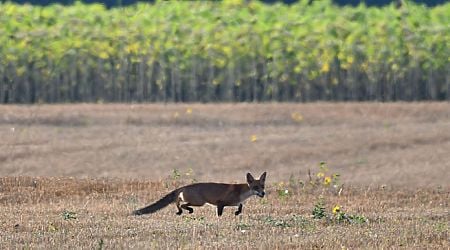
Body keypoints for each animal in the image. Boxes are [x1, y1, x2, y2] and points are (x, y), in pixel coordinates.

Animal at [134, 173, 268, 216]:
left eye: (262, 186)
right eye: (255, 187)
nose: (263, 193)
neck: (241, 193)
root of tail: (184, 186)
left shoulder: (236, 202)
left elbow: (240, 206)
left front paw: (237, 212)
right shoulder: (220, 203)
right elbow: (219, 214)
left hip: (195, 201)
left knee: (178, 201)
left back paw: (181, 211)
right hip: (199, 202)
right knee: (181, 203)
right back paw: (186, 210)